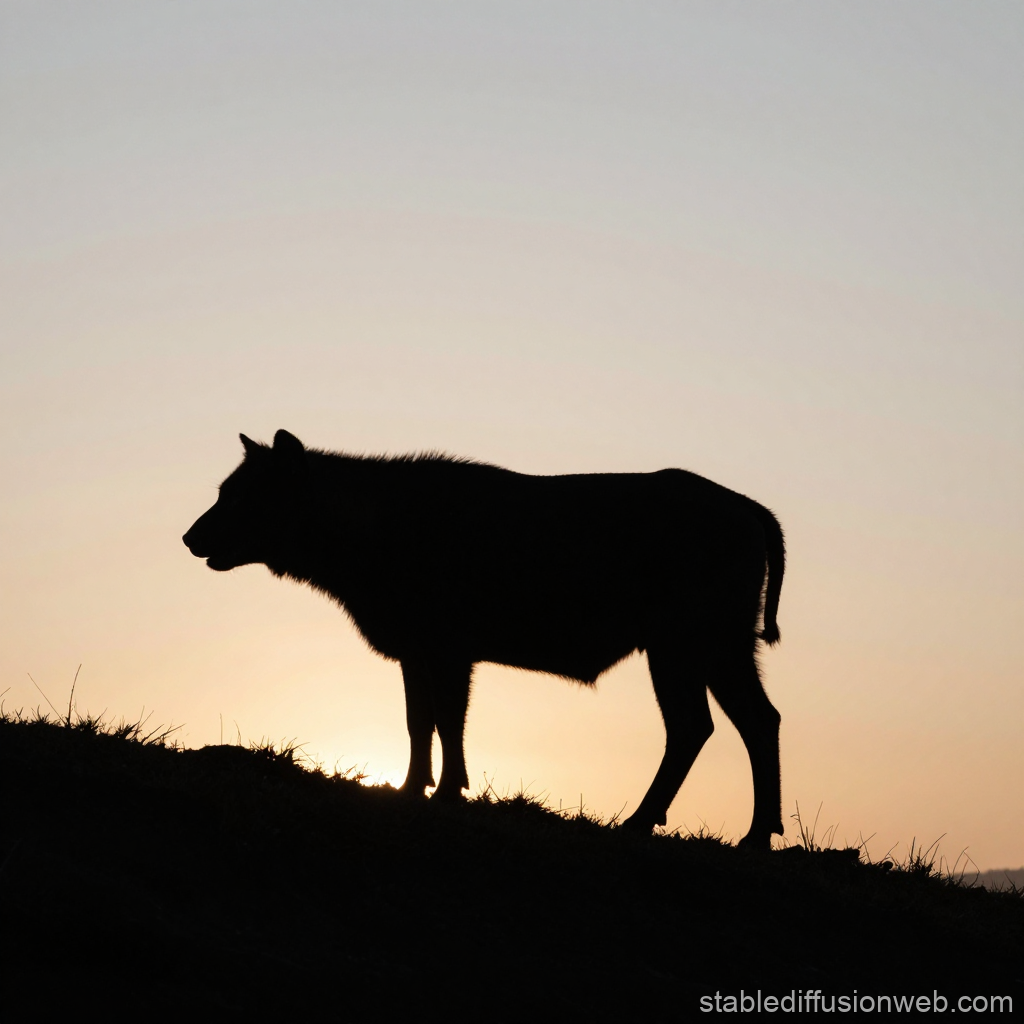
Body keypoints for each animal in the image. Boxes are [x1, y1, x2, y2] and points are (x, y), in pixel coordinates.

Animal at [183, 430, 786, 847]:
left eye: (243, 495)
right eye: (224, 489)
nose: (191, 536)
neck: (375, 523)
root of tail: (751, 509)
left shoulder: (451, 649)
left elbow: (450, 720)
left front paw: (450, 790)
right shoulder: (415, 651)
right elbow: (418, 721)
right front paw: (410, 788)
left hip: (685, 646)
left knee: (697, 725)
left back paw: (645, 823)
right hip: (718, 649)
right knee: (750, 720)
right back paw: (753, 833)